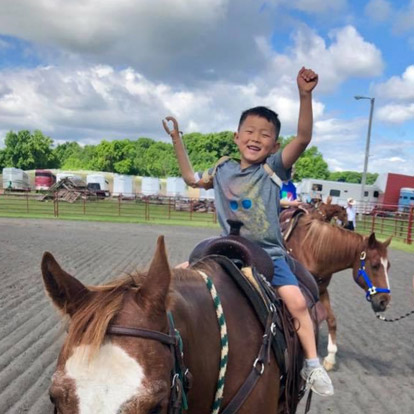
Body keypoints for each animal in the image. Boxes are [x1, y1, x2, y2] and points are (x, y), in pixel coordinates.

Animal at [284, 217, 392, 372]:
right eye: (375, 265)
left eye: (388, 266)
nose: (384, 301)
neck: (311, 250)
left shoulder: (322, 291)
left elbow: (332, 320)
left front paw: (330, 357)